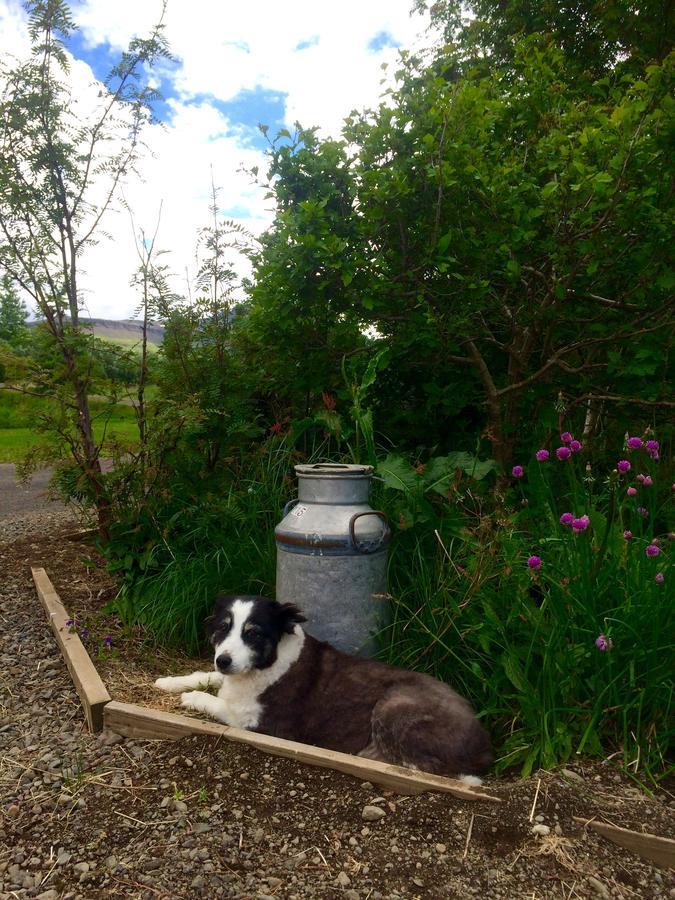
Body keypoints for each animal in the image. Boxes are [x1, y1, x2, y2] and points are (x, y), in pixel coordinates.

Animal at [156, 596, 494, 776]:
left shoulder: (264, 725)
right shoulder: (226, 675)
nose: (223, 660)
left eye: (253, 633)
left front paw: (191, 698)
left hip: (395, 704)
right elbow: (206, 675)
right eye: (223, 628)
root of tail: (485, 744)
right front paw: (169, 681)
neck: (268, 664)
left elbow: (220, 703)